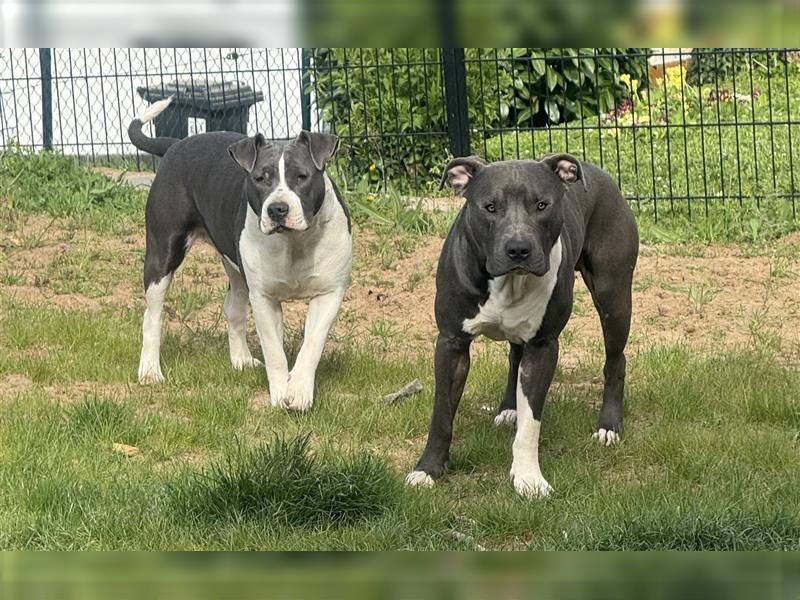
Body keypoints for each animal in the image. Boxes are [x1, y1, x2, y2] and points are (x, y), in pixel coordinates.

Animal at [127, 97, 350, 412]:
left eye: (302, 177)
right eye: (260, 179)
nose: (277, 209)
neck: (294, 243)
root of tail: (177, 143)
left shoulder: (329, 293)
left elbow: (312, 344)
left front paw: (299, 390)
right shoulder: (264, 298)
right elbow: (275, 352)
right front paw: (280, 393)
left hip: (236, 270)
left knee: (232, 308)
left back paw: (241, 359)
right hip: (162, 254)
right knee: (152, 314)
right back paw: (149, 370)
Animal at [406, 154, 636, 496]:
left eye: (542, 205)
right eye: (490, 207)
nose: (518, 248)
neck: (507, 282)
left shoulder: (542, 347)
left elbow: (531, 423)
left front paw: (528, 478)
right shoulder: (451, 343)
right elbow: (442, 413)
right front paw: (428, 469)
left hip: (614, 296)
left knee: (615, 360)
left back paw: (608, 425)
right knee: (514, 356)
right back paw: (508, 408)